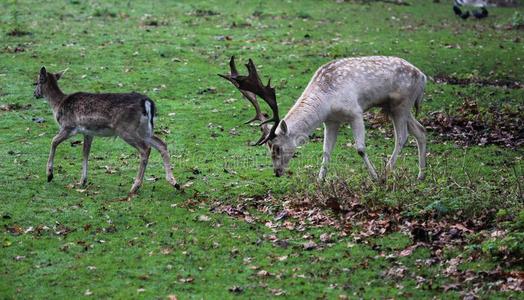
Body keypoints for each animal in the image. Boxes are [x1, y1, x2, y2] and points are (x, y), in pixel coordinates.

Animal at [34, 67, 180, 195]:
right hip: (145, 129)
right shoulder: (88, 133)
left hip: (125, 129)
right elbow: (85, 153)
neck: (58, 105)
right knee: (162, 144)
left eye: (36, 82)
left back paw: (135, 187)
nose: (35, 94)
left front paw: (49, 175)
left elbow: (53, 141)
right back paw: (174, 183)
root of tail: (147, 103)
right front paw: (82, 181)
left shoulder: (69, 126)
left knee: (145, 149)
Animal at [219, 56, 428, 182]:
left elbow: (360, 148)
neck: (327, 102)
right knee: (420, 130)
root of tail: (423, 76)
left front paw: (375, 177)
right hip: (395, 107)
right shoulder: (331, 121)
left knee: (402, 137)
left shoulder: (355, 111)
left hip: (402, 103)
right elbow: (326, 151)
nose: (277, 172)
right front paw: (320, 181)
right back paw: (420, 175)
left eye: (276, 147)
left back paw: (387, 171)